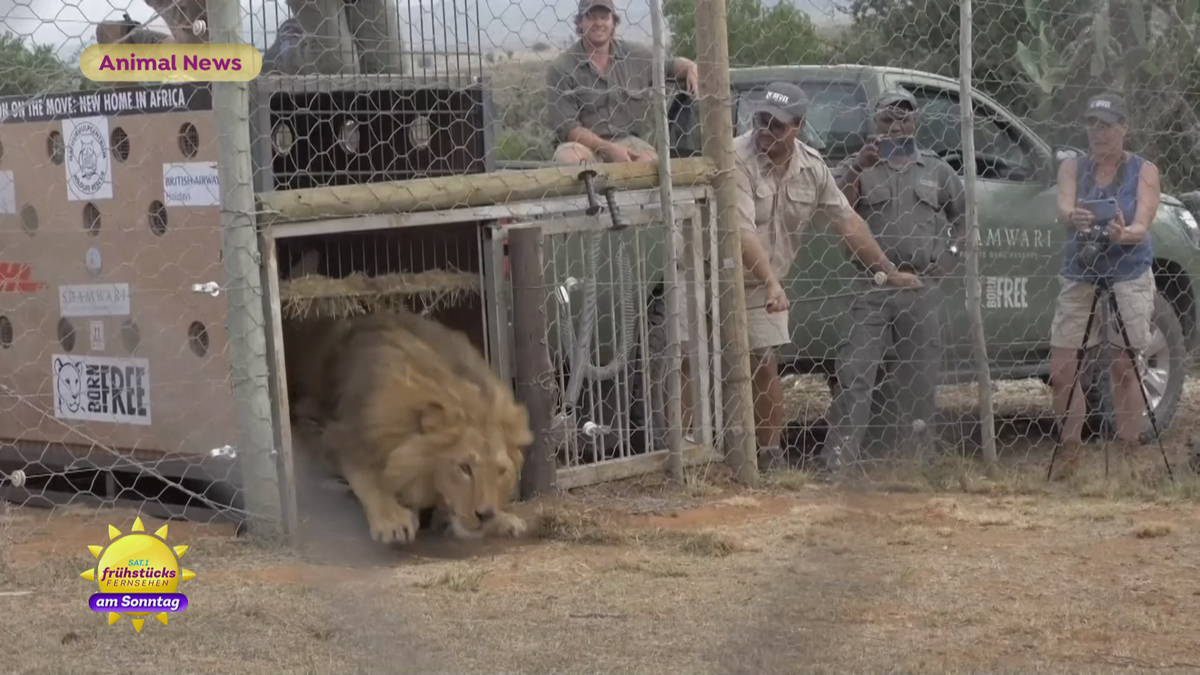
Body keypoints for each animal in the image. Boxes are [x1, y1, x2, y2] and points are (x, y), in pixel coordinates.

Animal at [283, 309, 532, 540]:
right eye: (464, 467)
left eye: (501, 471)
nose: (485, 515)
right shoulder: (334, 434)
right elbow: (365, 475)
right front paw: (392, 520)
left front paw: (503, 519)